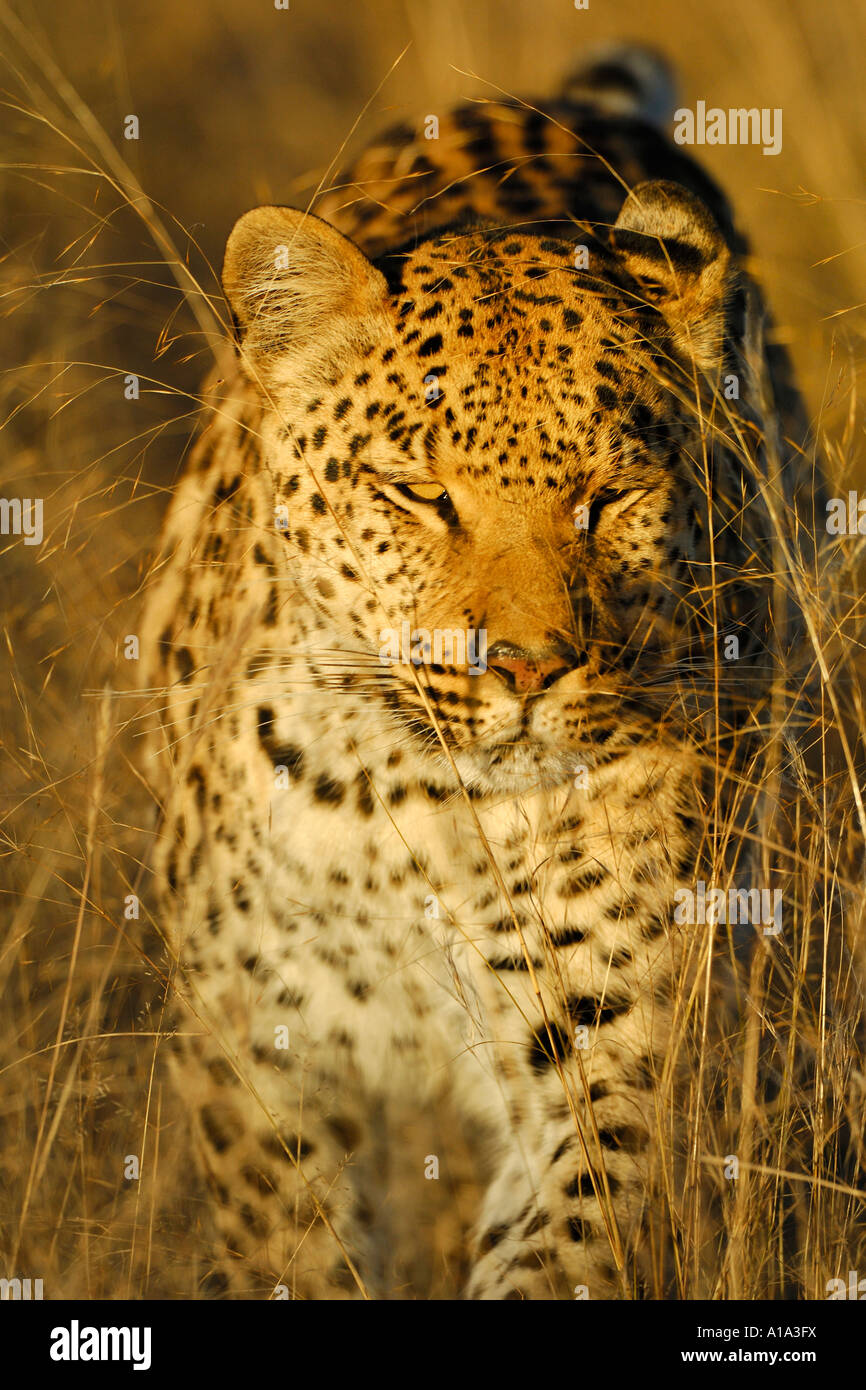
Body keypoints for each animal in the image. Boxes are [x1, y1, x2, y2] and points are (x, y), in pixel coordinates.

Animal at [139, 46, 822, 1301]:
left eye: (608, 495)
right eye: (420, 494)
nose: (526, 666)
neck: (409, 806)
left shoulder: (607, 1054)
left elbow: (559, 1246)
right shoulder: (256, 1053)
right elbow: (294, 1252)